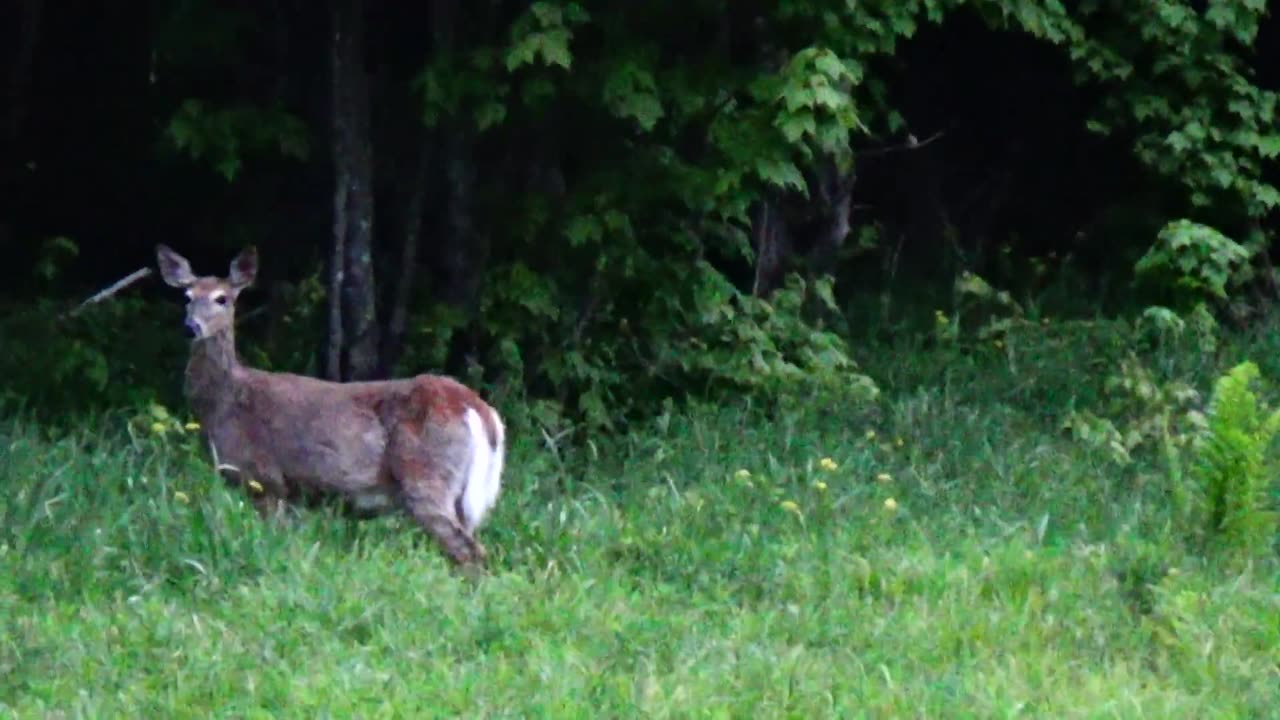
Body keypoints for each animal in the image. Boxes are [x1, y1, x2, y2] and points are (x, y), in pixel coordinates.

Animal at [154, 244, 504, 566]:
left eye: (222, 299)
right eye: (187, 297)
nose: (191, 327)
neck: (225, 401)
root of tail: (479, 410)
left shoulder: (265, 477)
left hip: (427, 476)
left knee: (470, 552)